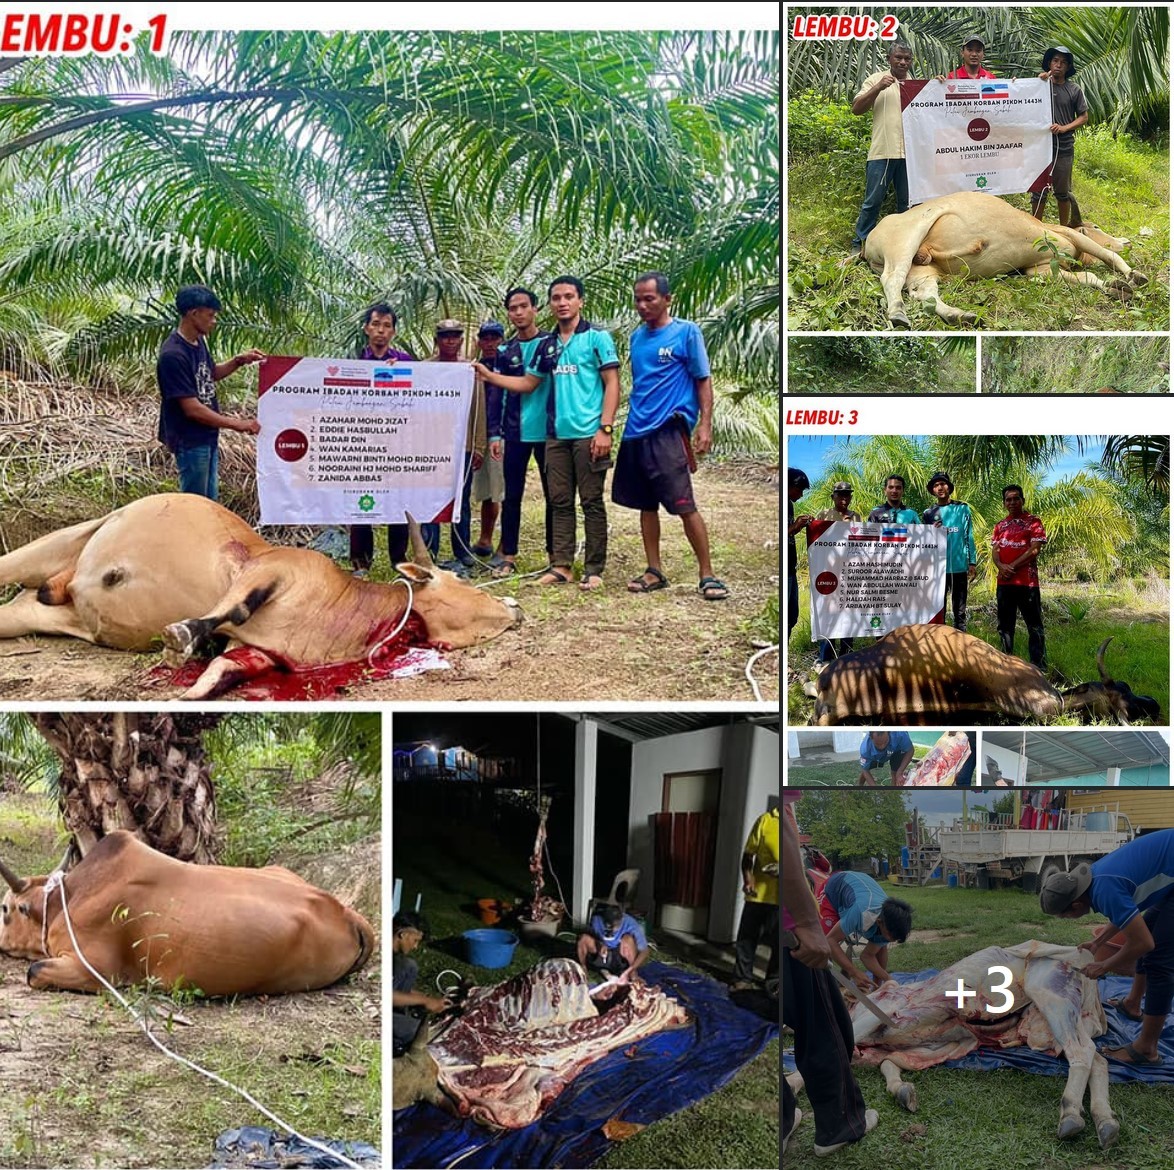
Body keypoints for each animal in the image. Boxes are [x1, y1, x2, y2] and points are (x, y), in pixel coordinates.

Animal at [0, 490, 518, 694]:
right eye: (460, 579)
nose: (513, 606)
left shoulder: (255, 655)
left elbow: (218, 673)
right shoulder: (269, 570)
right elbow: (233, 609)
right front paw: (180, 637)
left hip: (45, 613)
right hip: (61, 541)